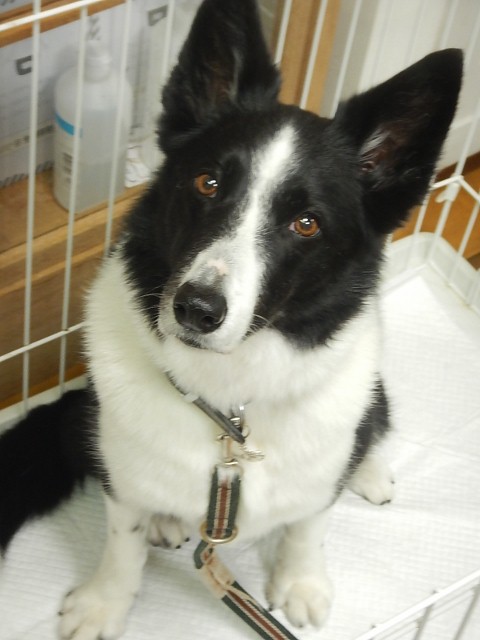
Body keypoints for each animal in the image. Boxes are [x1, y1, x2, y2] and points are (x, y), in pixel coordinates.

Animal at [0, 1, 462, 638]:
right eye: (208, 182)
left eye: (307, 223)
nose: (195, 309)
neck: (232, 411)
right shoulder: (120, 476)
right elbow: (122, 542)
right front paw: (105, 603)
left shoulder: (314, 485)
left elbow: (309, 525)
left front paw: (301, 583)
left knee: (373, 420)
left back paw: (368, 470)